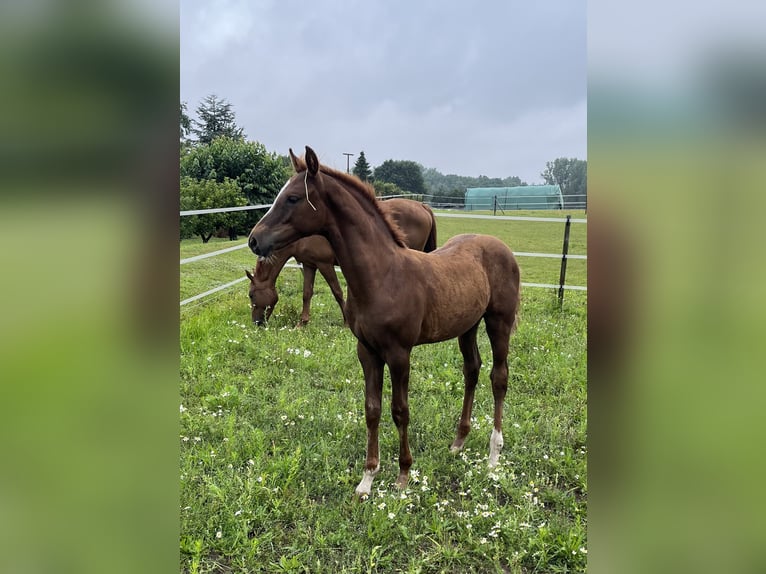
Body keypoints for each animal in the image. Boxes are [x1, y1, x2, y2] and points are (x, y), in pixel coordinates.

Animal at [246, 199, 438, 328]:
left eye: (251, 295)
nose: (257, 323)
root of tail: (422, 206)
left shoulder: (325, 264)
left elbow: (337, 292)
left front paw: (346, 322)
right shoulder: (309, 265)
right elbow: (307, 293)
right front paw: (302, 322)